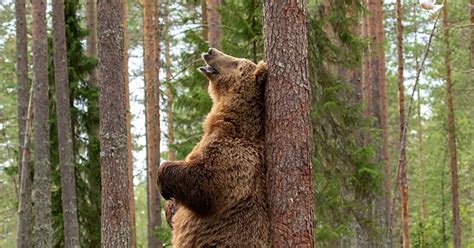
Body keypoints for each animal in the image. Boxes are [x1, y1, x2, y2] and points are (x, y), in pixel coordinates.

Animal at [158, 47, 270, 247]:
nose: (211, 50)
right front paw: (170, 209)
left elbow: (208, 182)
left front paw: (163, 180)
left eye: (235, 62)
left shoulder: (238, 158)